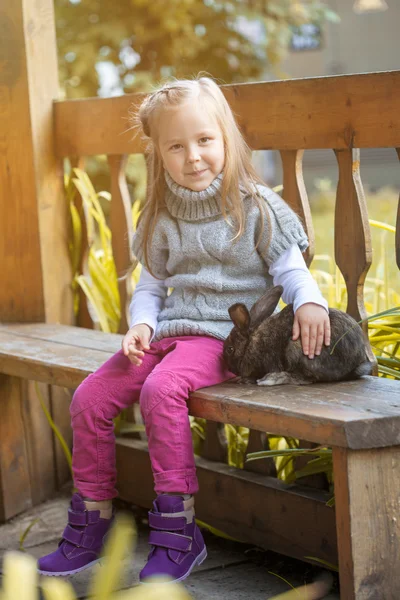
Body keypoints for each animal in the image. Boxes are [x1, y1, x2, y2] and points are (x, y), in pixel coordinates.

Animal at [223, 284, 374, 386]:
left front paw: (245, 379)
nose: (228, 368)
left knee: (306, 379)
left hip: (299, 349)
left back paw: (272, 379)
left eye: (230, 349)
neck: (251, 343)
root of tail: (355, 365)